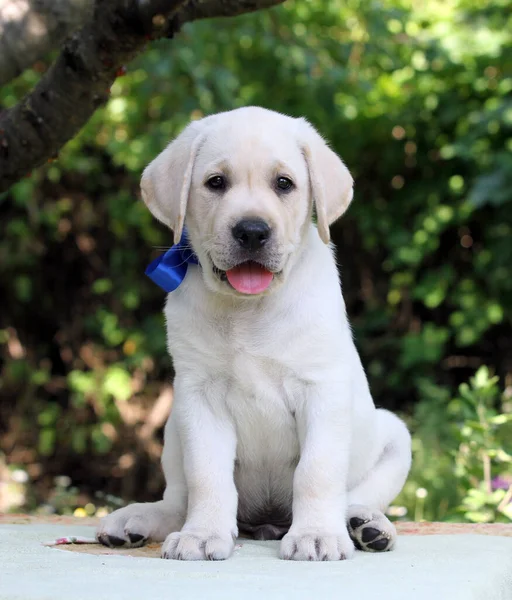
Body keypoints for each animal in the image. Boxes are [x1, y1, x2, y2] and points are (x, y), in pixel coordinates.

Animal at [97, 108, 412, 564]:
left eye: (284, 183)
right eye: (215, 183)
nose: (251, 231)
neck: (248, 309)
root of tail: (265, 523)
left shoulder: (321, 388)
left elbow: (316, 471)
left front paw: (316, 535)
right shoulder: (200, 395)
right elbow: (207, 475)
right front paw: (203, 534)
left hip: (395, 434)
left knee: (358, 495)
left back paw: (366, 525)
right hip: (174, 425)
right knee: (177, 501)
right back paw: (136, 521)